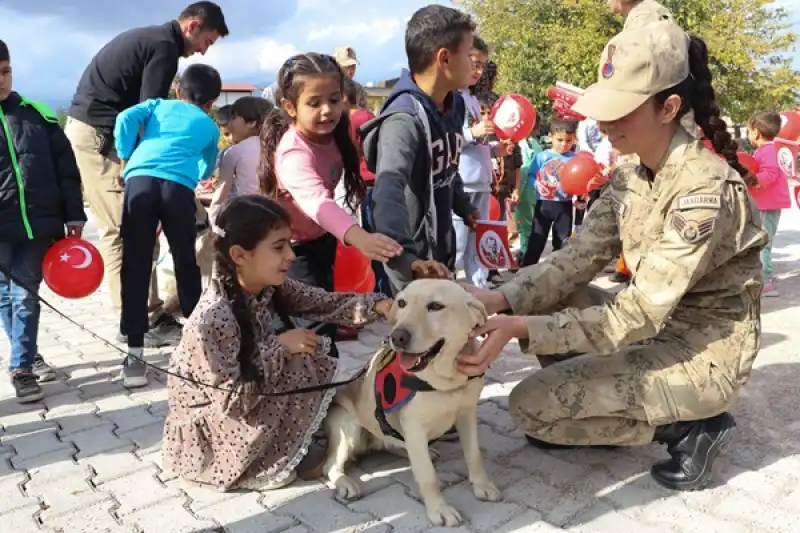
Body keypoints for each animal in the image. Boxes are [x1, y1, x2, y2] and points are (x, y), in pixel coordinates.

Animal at [324, 278, 500, 524]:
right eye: (402, 303)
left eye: (436, 306)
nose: (397, 337)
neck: (444, 380)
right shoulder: (415, 427)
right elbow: (427, 475)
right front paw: (439, 509)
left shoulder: (467, 413)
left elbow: (474, 455)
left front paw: (482, 485)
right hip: (348, 427)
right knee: (330, 465)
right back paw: (346, 482)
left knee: (394, 443)